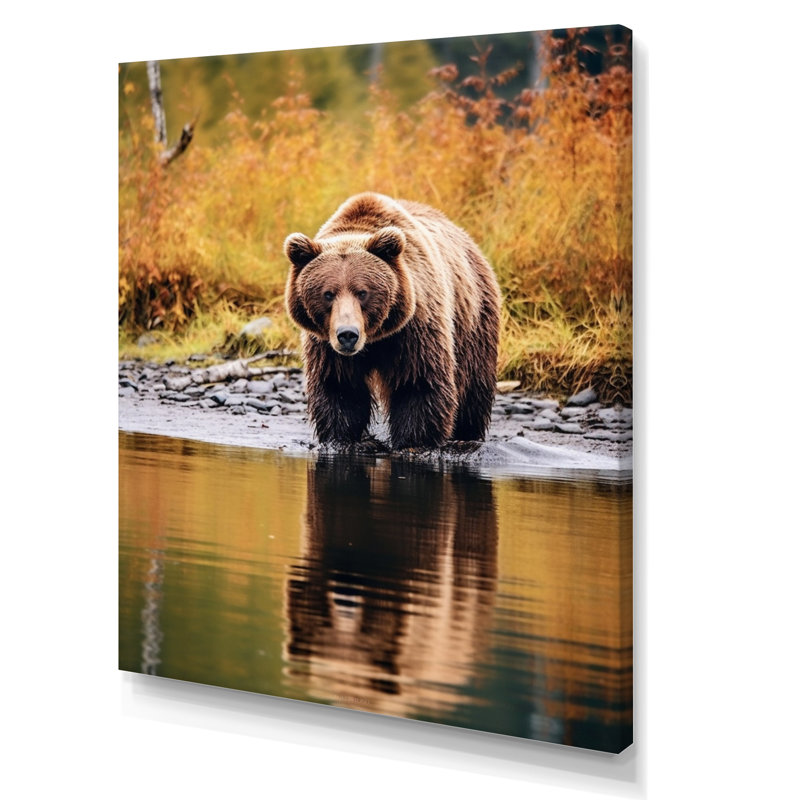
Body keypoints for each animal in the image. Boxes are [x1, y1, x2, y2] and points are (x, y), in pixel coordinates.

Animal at [284, 192, 501, 449]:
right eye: (328, 294)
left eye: (362, 292)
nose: (347, 335)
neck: (375, 338)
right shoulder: (326, 343)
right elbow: (340, 386)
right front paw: (345, 439)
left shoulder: (415, 327)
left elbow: (417, 382)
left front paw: (413, 441)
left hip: (473, 318)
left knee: (473, 385)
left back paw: (466, 434)